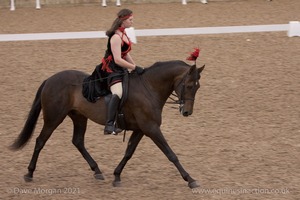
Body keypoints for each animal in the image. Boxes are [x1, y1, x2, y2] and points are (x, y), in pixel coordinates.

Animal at [10, 58, 205, 188]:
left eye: (197, 87)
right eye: (189, 85)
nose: (187, 112)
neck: (149, 87)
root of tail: (50, 79)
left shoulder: (141, 129)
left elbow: (129, 152)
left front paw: (117, 176)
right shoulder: (151, 128)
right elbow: (170, 154)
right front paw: (190, 179)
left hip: (79, 117)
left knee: (78, 141)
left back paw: (97, 171)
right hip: (53, 118)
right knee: (40, 141)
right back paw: (29, 173)